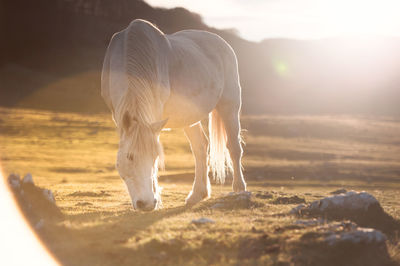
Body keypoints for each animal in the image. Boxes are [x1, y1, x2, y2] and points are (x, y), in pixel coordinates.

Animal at [101, 19, 245, 212]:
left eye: (155, 157)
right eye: (130, 157)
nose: (146, 204)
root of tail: (223, 44)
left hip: (230, 106)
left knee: (234, 148)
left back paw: (239, 188)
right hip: (190, 116)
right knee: (200, 147)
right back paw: (197, 194)